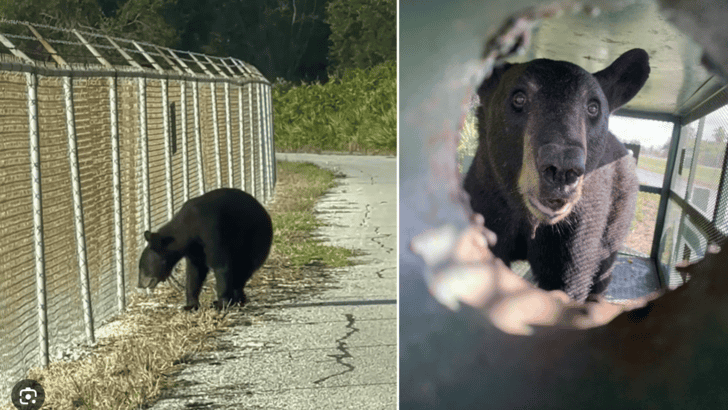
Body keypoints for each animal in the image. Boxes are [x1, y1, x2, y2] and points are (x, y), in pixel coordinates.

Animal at [138, 188, 273, 310]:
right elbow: (195, 271)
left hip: (255, 238)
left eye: (142, 267)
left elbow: (220, 264)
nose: (140, 284)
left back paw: (236, 299)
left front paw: (221, 304)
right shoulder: (195, 248)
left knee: (243, 268)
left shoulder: (210, 229)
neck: (187, 229)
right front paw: (190, 305)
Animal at [463, 48, 649, 302]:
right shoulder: (487, 205)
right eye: (518, 98)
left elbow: (570, 280)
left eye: (593, 107)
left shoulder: (578, 225)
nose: (562, 168)